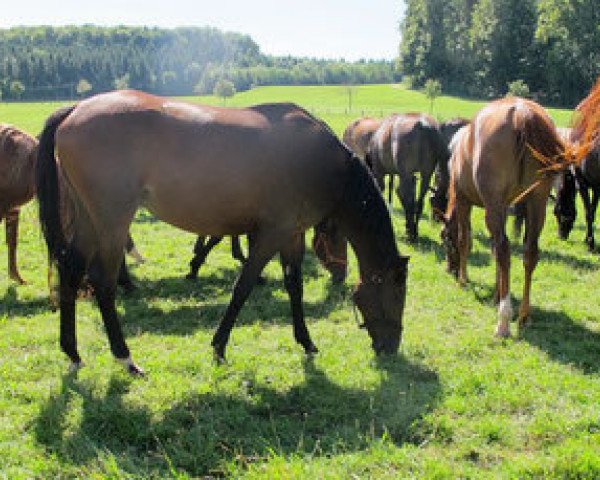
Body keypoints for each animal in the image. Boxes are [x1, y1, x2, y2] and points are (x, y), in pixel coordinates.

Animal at [36, 91, 408, 376]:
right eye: (397, 295)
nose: (391, 347)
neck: (322, 162)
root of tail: (75, 108)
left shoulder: (291, 234)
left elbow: (294, 286)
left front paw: (306, 341)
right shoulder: (271, 234)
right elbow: (243, 286)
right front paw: (218, 346)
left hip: (89, 220)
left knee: (71, 270)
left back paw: (72, 353)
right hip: (112, 222)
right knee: (103, 282)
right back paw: (125, 358)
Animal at [366, 111, 450, 240]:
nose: (437, 220)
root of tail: (424, 126)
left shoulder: (381, 172)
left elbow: (397, 192)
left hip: (406, 173)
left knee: (407, 198)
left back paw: (410, 233)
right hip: (426, 173)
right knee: (419, 202)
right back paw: (414, 231)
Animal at [440, 97, 568, 338]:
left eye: (444, 239)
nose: (450, 269)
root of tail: (522, 113)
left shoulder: (464, 201)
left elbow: (465, 240)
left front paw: (463, 279)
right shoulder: (506, 207)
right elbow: (493, 250)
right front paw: (497, 294)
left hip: (495, 204)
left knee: (504, 249)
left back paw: (504, 320)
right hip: (536, 201)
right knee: (529, 251)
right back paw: (524, 315)